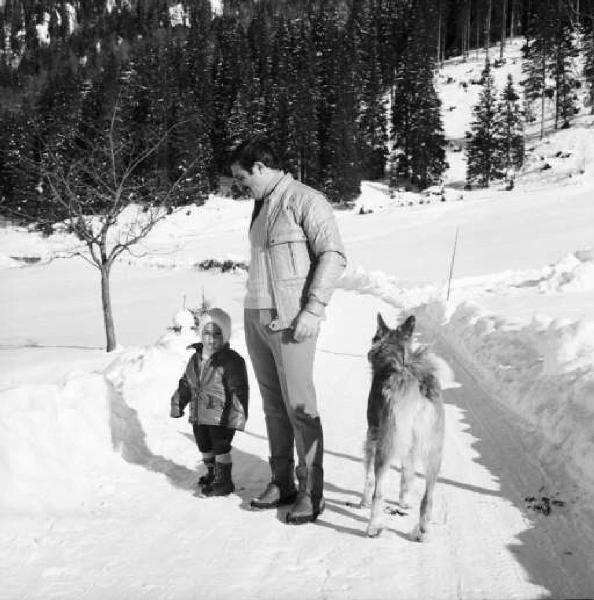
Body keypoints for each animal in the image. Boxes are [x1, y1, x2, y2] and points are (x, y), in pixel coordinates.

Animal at [358, 316, 442, 540]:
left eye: (374, 336)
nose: (369, 351)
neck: (392, 355)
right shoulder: (410, 447)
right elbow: (407, 475)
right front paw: (404, 502)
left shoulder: (373, 434)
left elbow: (368, 478)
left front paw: (363, 501)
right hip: (434, 453)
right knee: (428, 497)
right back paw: (422, 531)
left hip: (384, 447)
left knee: (378, 492)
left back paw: (373, 527)